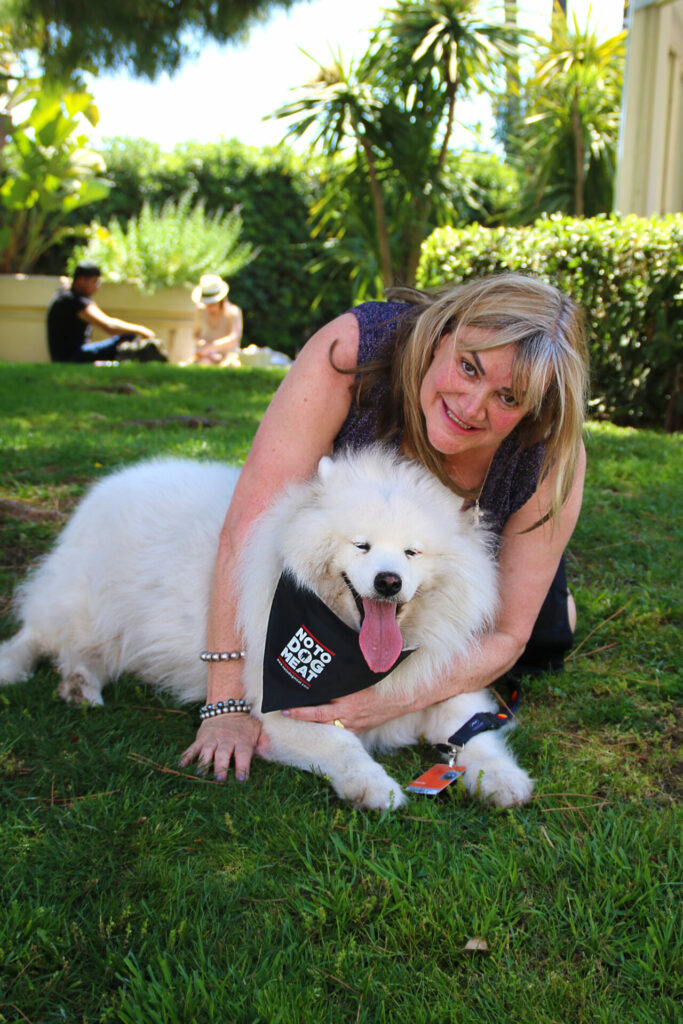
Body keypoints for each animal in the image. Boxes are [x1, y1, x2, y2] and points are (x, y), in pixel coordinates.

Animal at [0, 446, 532, 806]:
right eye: (361, 545)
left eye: (411, 552)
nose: (388, 581)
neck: (351, 650)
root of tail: (115, 481)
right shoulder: (280, 710)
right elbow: (342, 745)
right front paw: (374, 787)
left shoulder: (441, 685)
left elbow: (476, 735)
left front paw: (504, 780)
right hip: (84, 604)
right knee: (37, 636)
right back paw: (29, 672)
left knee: (80, 655)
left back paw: (77, 687)